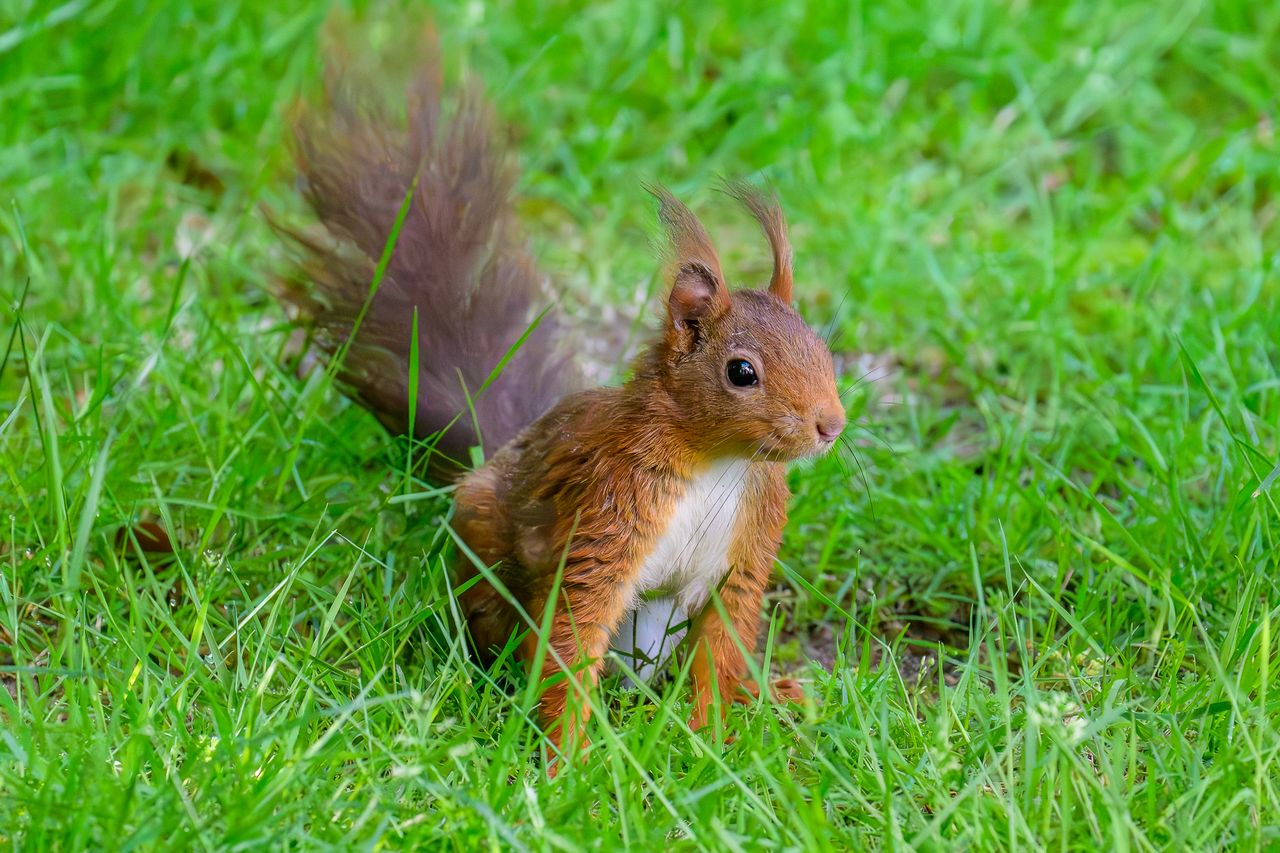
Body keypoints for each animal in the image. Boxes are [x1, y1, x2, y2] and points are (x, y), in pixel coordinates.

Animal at [274, 45, 846, 770]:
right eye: (741, 372)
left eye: (824, 350)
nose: (831, 425)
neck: (721, 463)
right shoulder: (609, 511)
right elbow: (574, 631)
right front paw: (564, 761)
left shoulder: (747, 550)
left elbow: (721, 648)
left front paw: (710, 744)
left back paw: (773, 693)